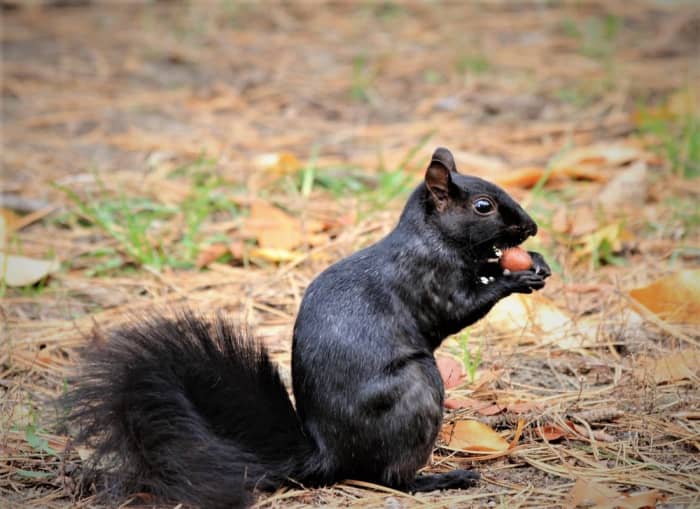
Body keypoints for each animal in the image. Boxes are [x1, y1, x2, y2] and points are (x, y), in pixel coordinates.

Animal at [63, 145, 548, 506]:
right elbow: (459, 309)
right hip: (416, 389)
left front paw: (530, 262)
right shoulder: (429, 279)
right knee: (391, 477)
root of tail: (328, 455)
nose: (531, 227)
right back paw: (438, 480)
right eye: (483, 206)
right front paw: (516, 277)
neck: (430, 236)